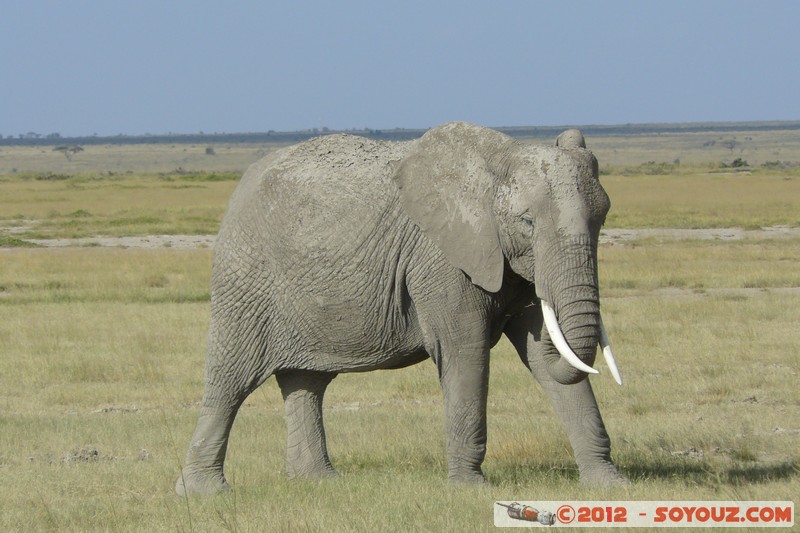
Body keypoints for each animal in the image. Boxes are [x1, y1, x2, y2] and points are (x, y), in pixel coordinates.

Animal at [175, 122, 624, 496]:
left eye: (602, 219)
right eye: (527, 222)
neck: (497, 161)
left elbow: (542, 357)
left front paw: (609, 484)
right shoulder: (441, 258)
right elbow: (466, 349)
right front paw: (470, 489)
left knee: (306, 381)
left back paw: (318, 481)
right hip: (245, 276)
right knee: (231, 380)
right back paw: (204, 492)